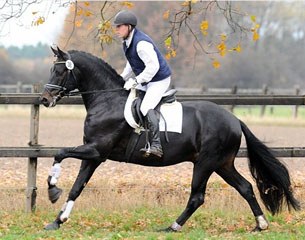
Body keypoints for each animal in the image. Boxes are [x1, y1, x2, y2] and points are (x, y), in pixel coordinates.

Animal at [40, 47, 300, 232]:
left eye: (60, 71)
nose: (44, 99)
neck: (106, 101)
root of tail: (235, 119)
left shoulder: (96, 151)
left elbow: (60, 153)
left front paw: (53, 190)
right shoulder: (93, 155)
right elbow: (77, 187)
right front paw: (58, 220)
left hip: (205, 163)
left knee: (197, 197)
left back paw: (172, 227)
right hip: (222, 164)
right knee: (245, 187)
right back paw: (261, 224)